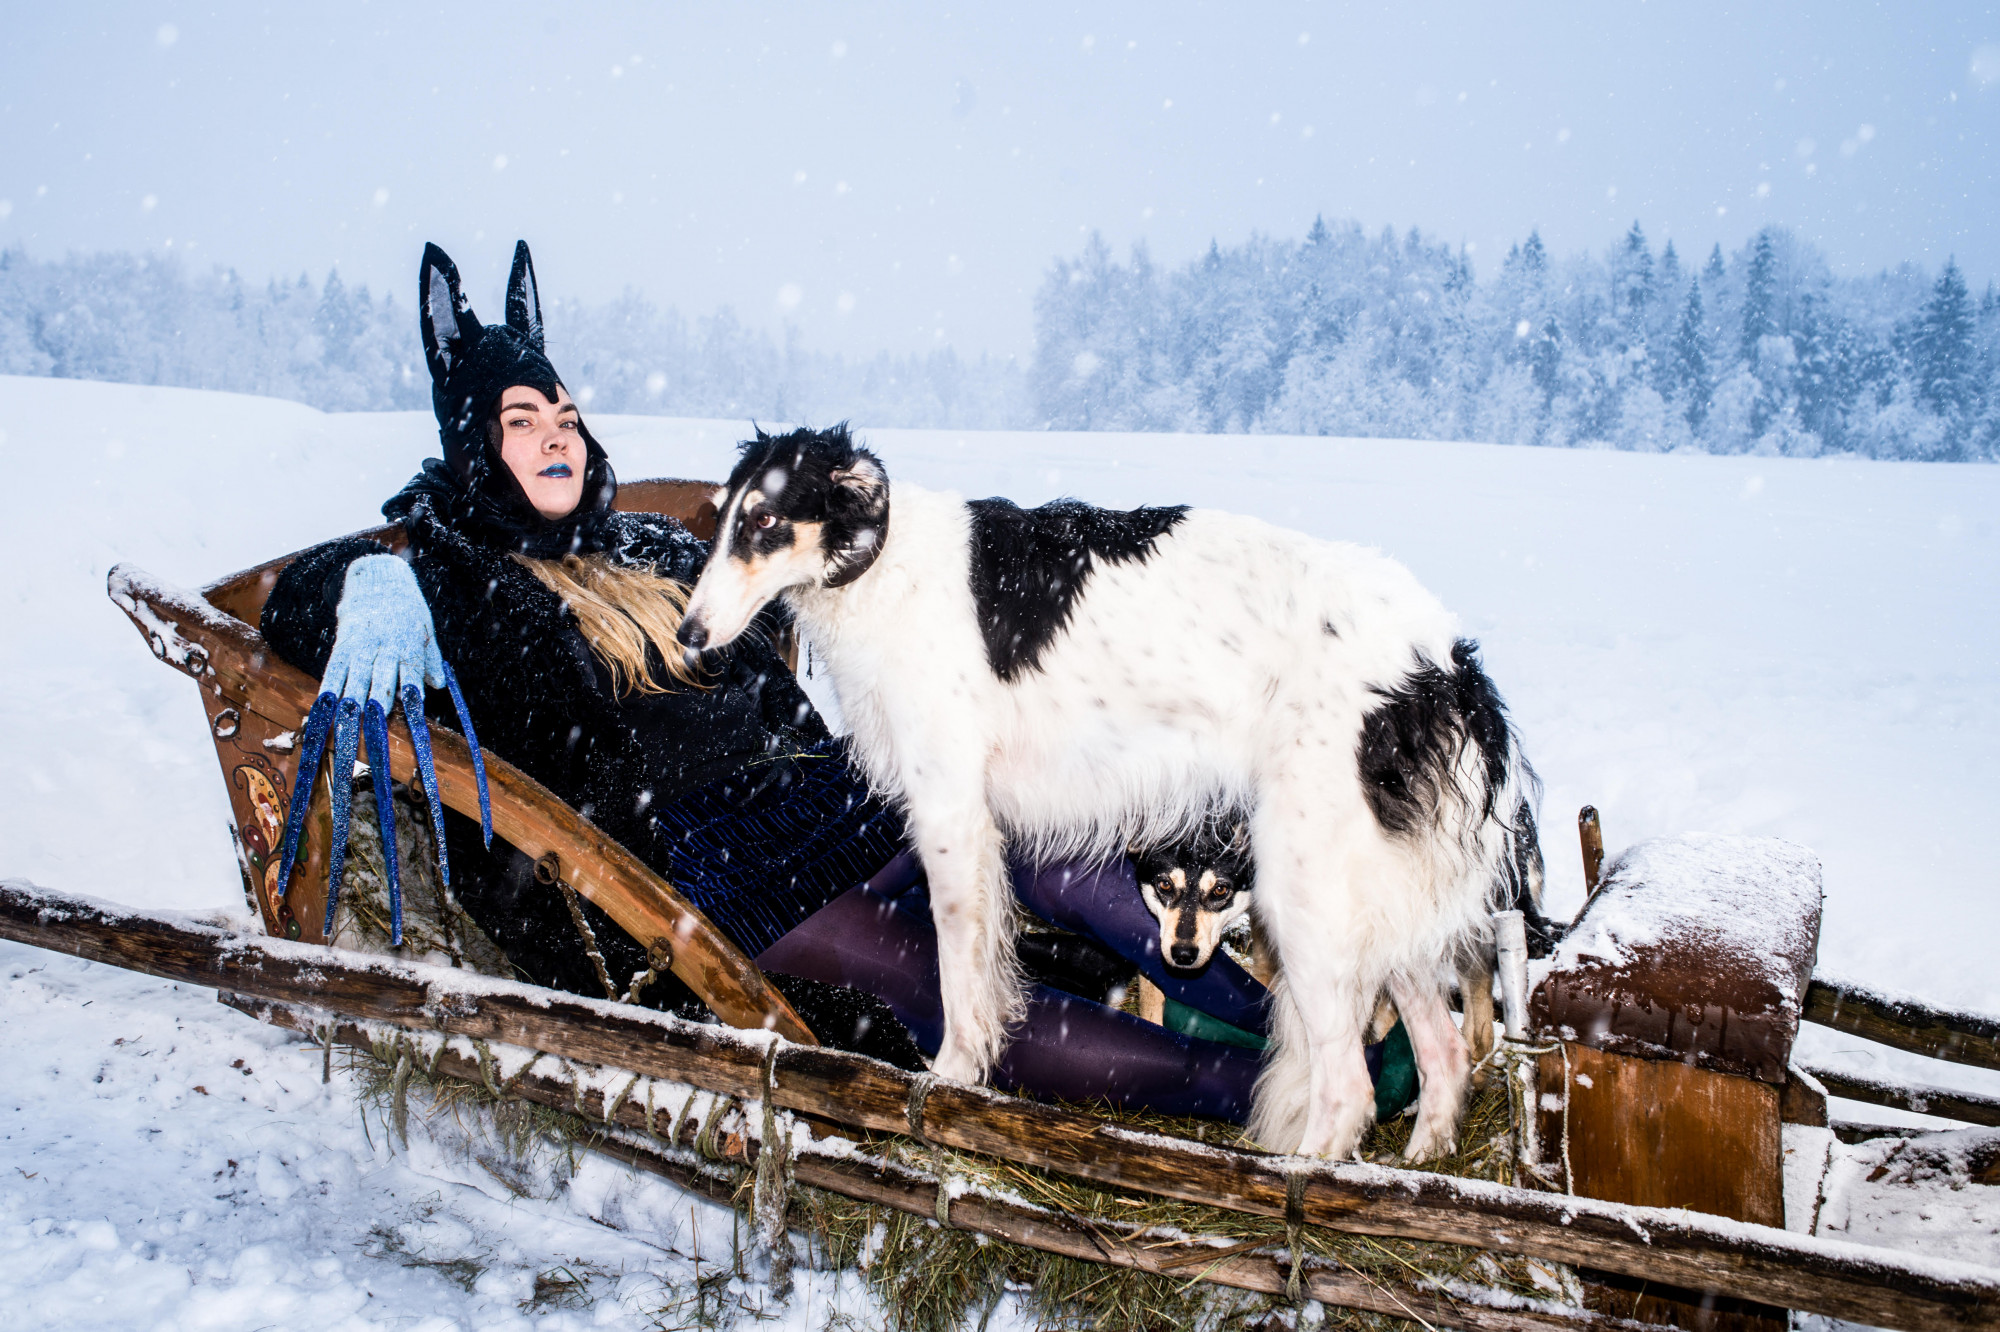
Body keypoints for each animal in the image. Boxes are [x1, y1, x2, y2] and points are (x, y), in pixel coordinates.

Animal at [680, 428, 1536, 1160]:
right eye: (722, 518)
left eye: (764, 520)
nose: (687, 638)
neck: (887, 566)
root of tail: (1444, 663)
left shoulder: (950, 811)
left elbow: (957, 976)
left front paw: (950, 1078)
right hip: (1378, 906)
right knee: (1442, 1052)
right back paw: (1420, 1167)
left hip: (1306, 897)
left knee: (1350, 1088)